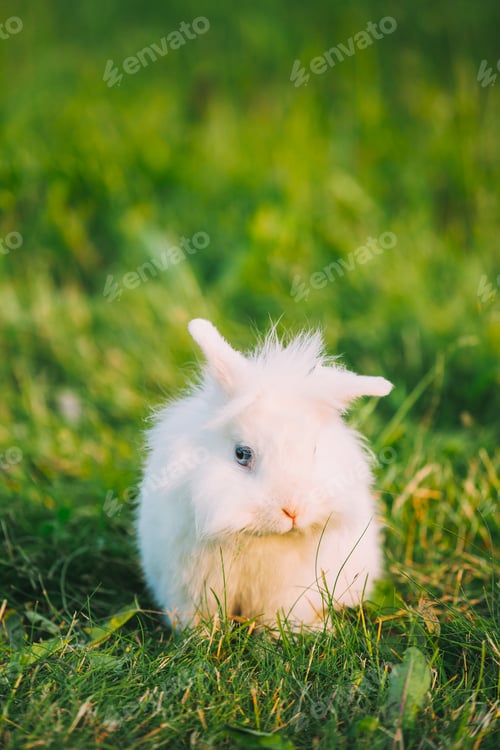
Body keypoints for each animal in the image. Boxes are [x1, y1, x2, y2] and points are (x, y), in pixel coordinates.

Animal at [137, 318, 393, 630]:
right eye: (241, 454)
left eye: (314, 449)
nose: (292, 510)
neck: (258, 535)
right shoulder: (191, 587)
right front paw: (200, 636)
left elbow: (278, 616)